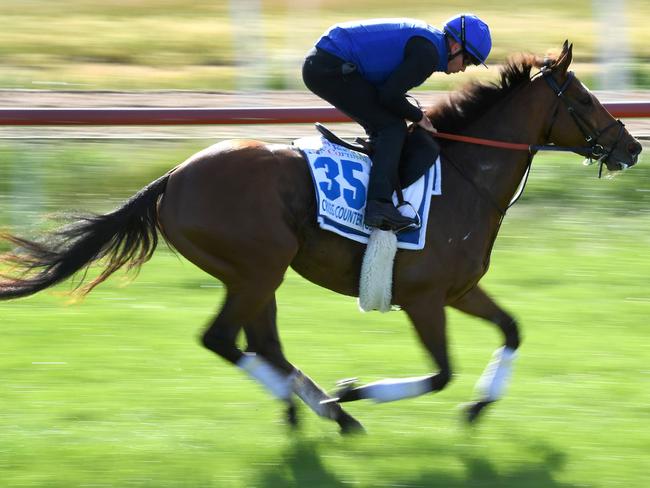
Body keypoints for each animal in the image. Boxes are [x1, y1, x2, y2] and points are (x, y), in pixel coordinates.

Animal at [0, 42, 636, 434]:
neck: (463, 176)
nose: (631, 147)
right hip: (259, 269)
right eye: (584, 99)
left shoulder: (459, 290)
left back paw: (315, 413)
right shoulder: (425, 298)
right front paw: (353, 392)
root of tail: (172, 179)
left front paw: (479, 408)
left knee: (261, 346)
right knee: (223, 340)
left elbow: (512, 330)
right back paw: (334, 412)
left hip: (256, 276)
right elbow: (440, 373)